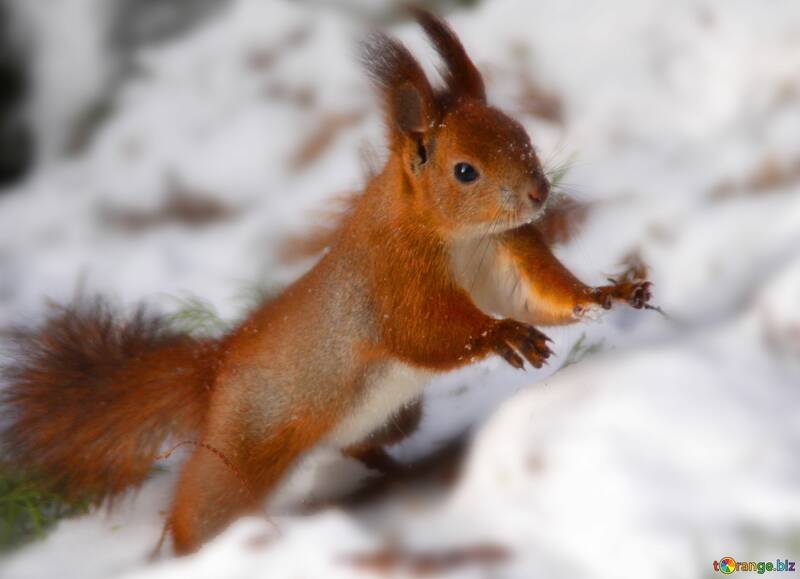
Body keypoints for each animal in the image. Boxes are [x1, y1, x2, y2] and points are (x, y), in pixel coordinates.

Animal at [0, 9, 648, 552]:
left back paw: (395, 472)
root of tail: (214, 368)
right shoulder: (392, 279)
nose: (540, 194)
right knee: (199, 509)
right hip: (241, 457)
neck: (455, 236)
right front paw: (500, 335)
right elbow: (426, 331)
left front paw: (605, 294)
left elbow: (541, 296)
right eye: (465, 171)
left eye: (523, 135)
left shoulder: (506, 252)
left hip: (395, 414)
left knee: (360, 443)